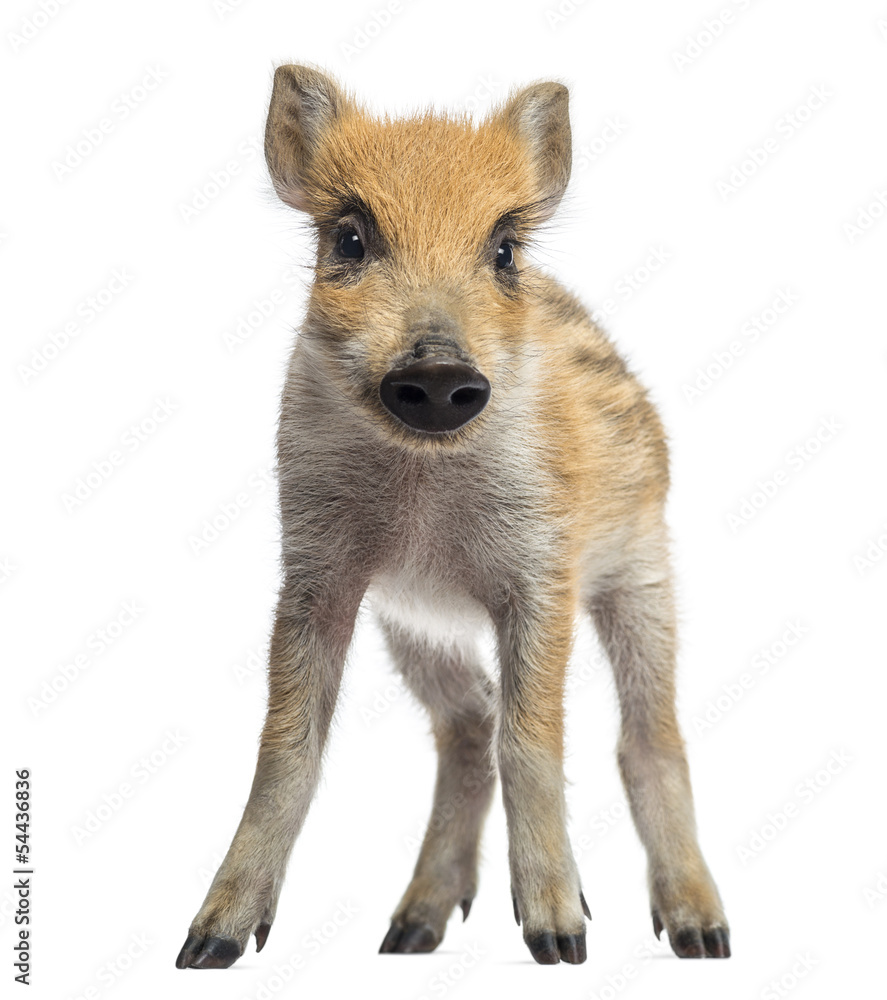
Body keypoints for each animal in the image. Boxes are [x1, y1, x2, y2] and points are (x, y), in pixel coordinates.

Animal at [175, 64, 730, 969]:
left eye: (503, 251)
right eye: (349, 240)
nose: (437, 376)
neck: (423, 497)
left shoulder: (542, 573)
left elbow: (532, 740)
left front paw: (560, 939)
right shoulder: (321, 574)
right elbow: (286, 745)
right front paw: (207, 946)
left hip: (643, 575)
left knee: (647, 735)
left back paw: (701, 935)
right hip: (415, 626)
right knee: (467, 726)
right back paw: (409, 933)